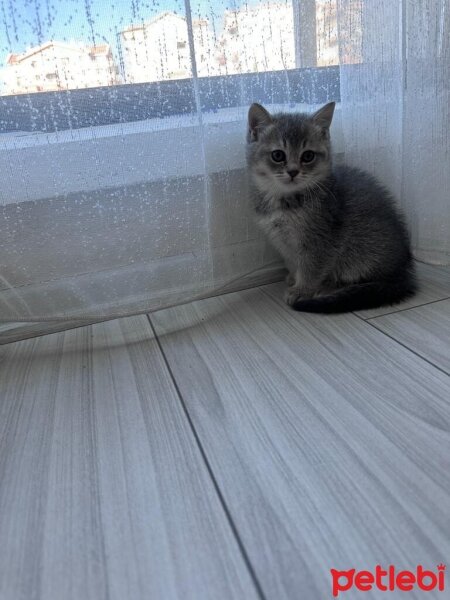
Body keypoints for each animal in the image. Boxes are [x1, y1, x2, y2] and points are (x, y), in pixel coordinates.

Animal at [248, 102, 416, 314]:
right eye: (278, 155)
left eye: (308, 156)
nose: (293, 172)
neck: (287, 201)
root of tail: (403, 271)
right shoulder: (282, 240)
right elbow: (293, 261)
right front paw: (294, 278)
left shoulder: (322, 241)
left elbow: (311, 268)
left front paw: (303, 290)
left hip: (360, 248)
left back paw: (329, 286)